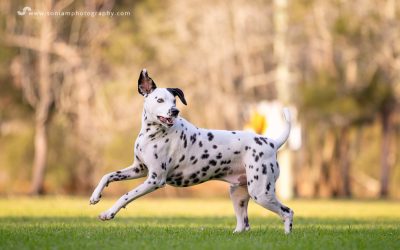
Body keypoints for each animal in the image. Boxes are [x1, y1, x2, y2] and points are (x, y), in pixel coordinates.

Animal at [89, 69, 294, 234]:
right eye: (160, 99)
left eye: (174, 100)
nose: (175, 111)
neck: (153, 134)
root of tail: (272, 143)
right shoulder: (138, 169)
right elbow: (108, 176)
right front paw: (95, 197)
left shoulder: (154, 180)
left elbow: (126, 196)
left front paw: (109, 213)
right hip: (238, 194)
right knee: (244, 224)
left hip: (261, 193)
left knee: (287, 212)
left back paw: (287, 234)